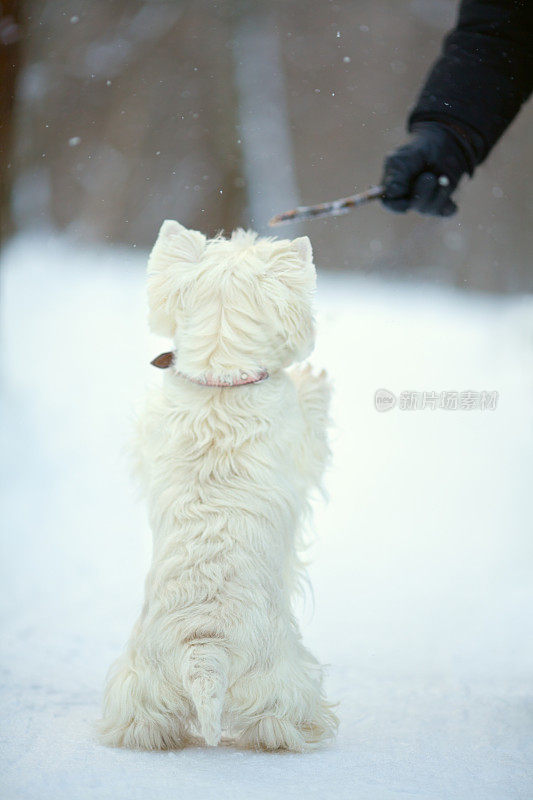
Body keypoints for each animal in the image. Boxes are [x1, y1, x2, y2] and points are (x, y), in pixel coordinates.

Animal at [100, 220, 336, 752]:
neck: (220, 380)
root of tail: (205, 654)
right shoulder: (301, 440)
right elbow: (312, 418)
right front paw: (314, 377)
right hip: (281, 683)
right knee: (279, 724)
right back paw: (315, 730)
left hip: (140, 688)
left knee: (141, 722)